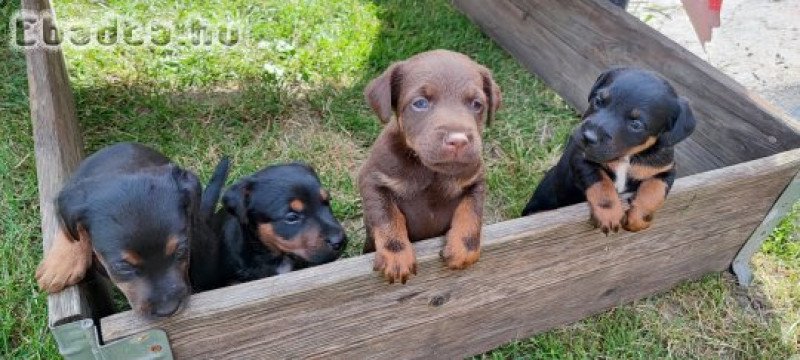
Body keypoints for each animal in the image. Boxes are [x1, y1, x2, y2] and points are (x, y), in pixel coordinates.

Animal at [360, 50, 500, 284]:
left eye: (477, 104)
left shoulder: (476, 180)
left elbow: (472, 211)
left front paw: (464, 250)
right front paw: (396, 256)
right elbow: (387, 216)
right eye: (420, 103)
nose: (458, 140)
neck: (431, 172)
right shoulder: (372, 180)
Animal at [520, 67, 696, 233]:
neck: (626, 157)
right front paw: (610, 215)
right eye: (598, 100)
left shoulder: (665, 169)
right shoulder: (580, 158)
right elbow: (601, 184)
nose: (588, 137)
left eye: (636, 124)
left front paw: (639, 220)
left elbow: (655, 190)